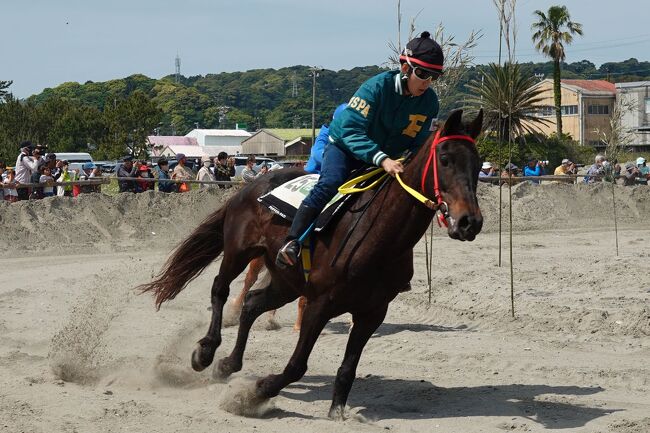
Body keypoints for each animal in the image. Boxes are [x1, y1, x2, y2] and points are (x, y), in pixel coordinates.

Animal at [139, 107, 484, 416]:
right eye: (445, 159)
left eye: (478, 163)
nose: (470, 222)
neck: (375, 234)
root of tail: (253, 186)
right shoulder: (321, 303)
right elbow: (296, 365)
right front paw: (253, 395)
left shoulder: (373, 311)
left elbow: (347, 368)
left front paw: (338, 412)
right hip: (239, 252)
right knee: (220, 290)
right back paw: (206, 352)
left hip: (286, 280)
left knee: (252, 303)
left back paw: (228, 364)